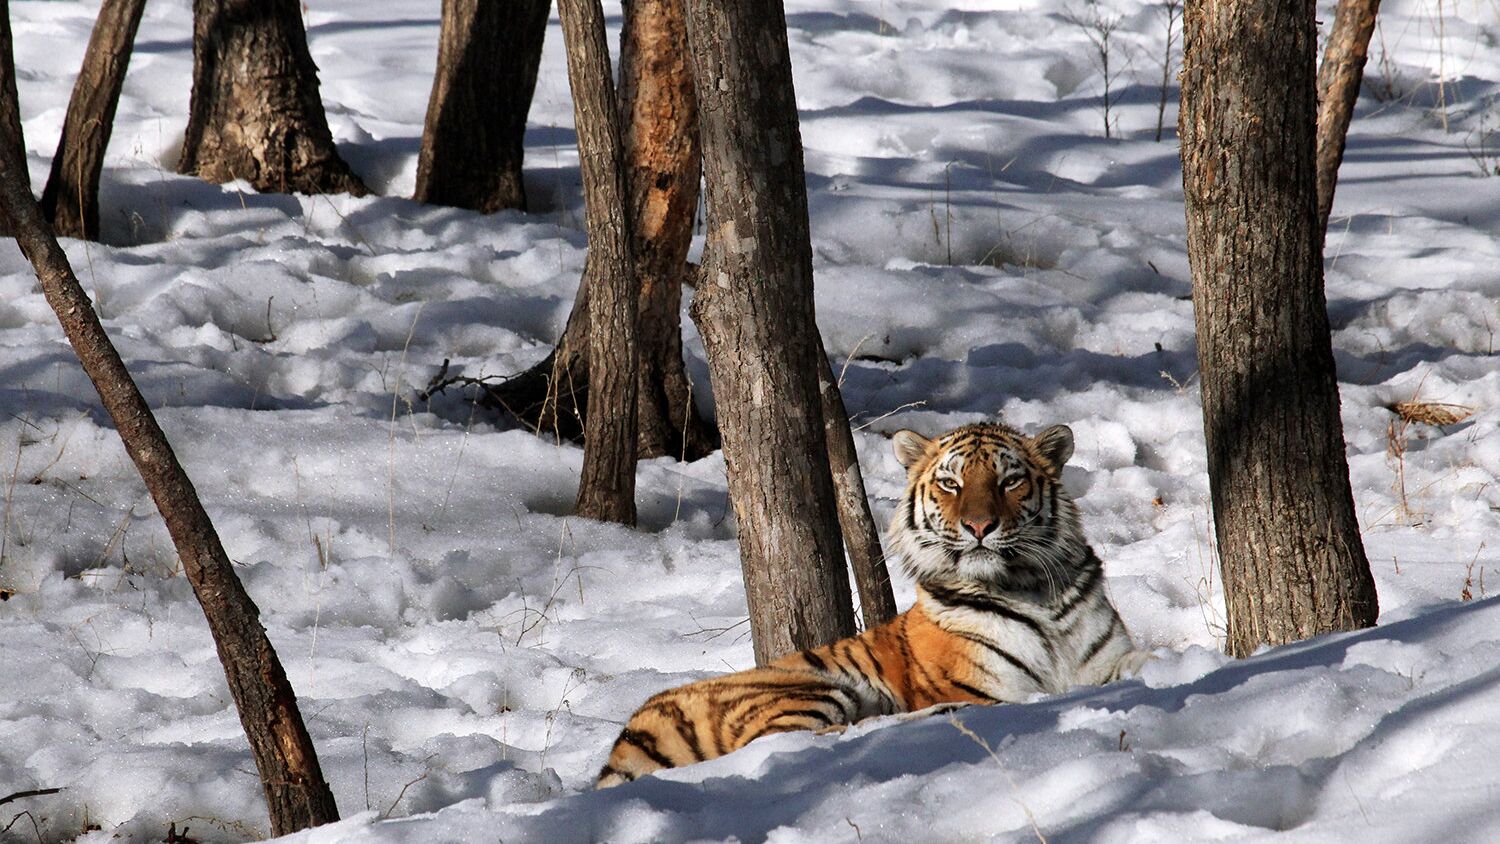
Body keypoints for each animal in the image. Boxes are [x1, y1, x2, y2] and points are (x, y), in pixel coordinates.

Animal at [597, 425, 1146, 791]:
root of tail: (630, 730)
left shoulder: (1106, 657)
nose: (978, 526)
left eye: (1009, 481)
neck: (1030, 587)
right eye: (951, 483)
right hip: (808, 689)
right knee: (806, 739)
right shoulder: (985, 685)